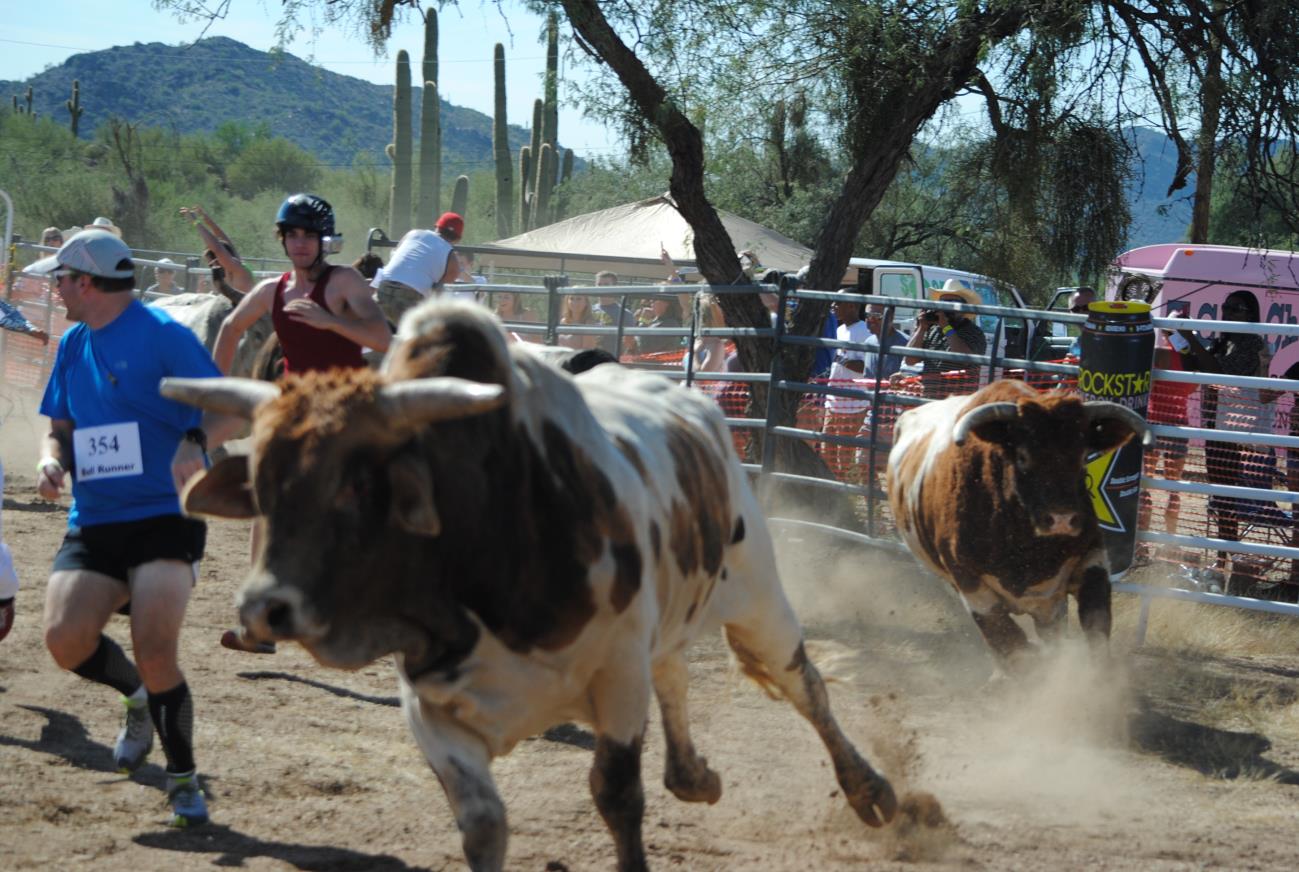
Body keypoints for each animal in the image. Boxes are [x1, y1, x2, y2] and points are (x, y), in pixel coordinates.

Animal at [883, 379, 1148, 665]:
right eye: (1022, 457)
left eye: (1082, 456)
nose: (1062, 519)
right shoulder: (972, 587)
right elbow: (1012, 646)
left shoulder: (1091, 560)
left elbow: (1096, 630)